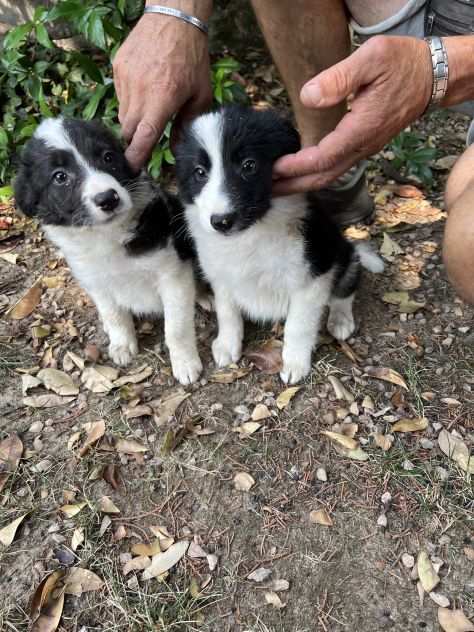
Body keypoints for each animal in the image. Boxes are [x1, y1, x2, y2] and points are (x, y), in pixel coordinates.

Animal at [14, 118, 204, 386]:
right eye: (60, 177)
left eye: (107, 157)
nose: (108, 198)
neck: (107, 235)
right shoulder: (95, 282)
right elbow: (113, 314)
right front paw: (122, 344)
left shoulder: (173, 274)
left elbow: (176, 327)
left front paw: (185, 363)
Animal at [176, 105, 384, 386]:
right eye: (199, 172)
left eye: (249, 165)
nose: (221, 222)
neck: (252, 235)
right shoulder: (222, 277)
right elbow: (227, 312)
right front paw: (227, 345)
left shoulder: (313, 278)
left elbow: (298, 325)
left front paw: (295, 363)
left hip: (342, 254)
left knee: (346, 289)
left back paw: (340, 321)